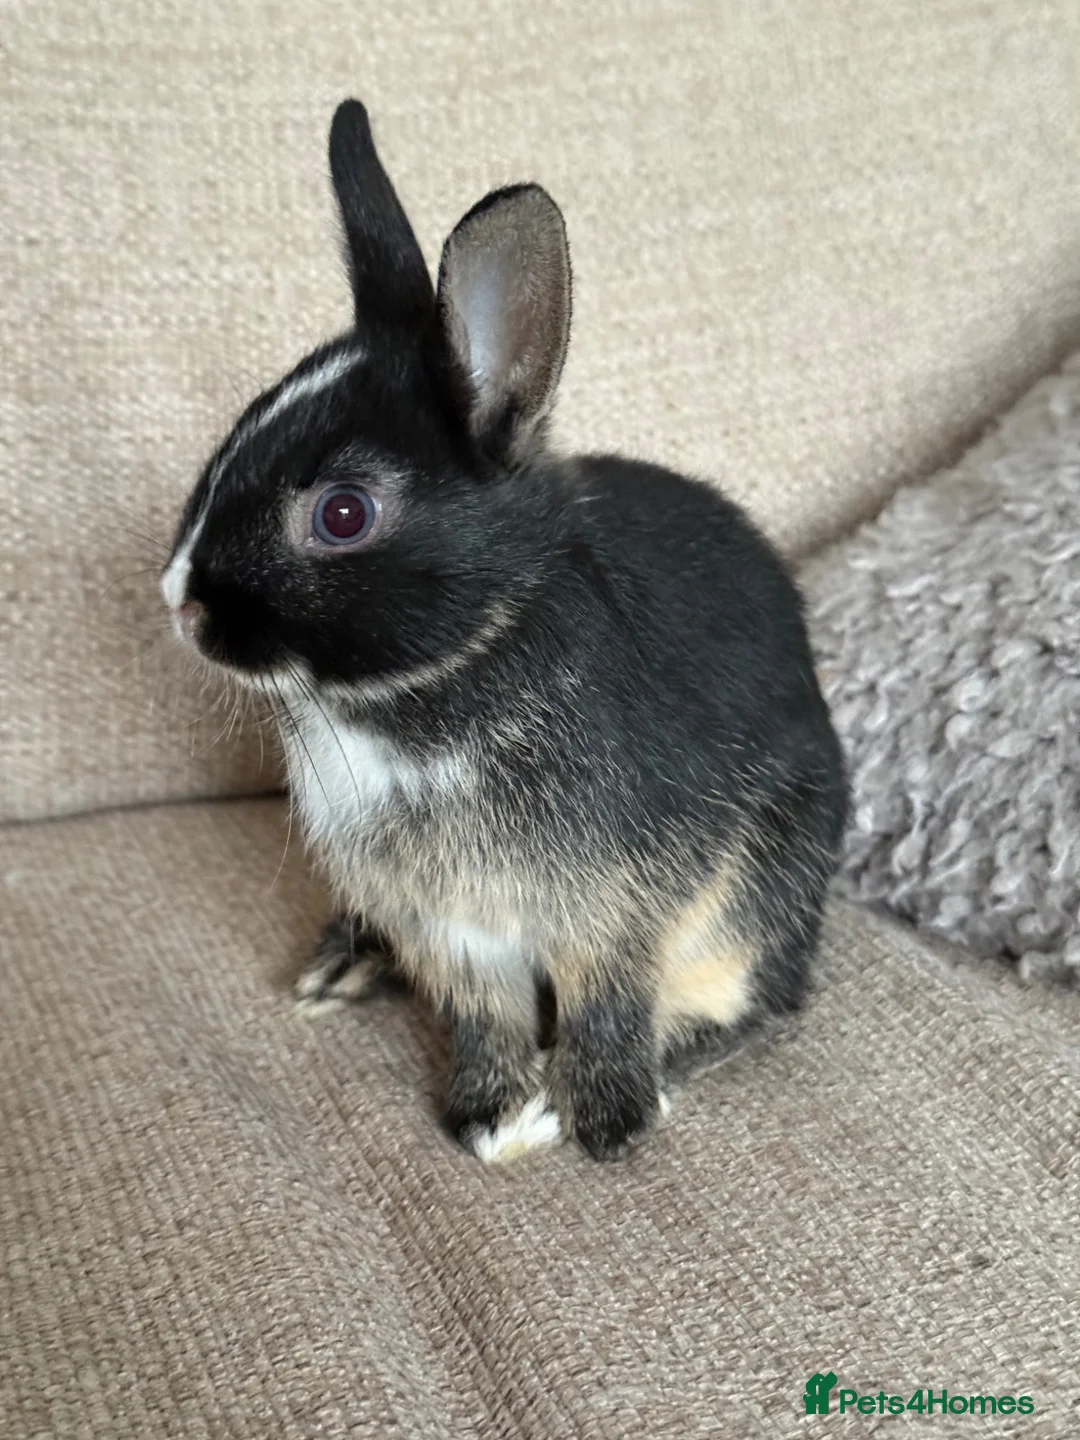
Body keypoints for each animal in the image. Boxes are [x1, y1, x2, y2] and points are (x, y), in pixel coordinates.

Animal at [161, 99, 849, 1163]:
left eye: (344, 514)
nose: (179, 601)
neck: (441, 681)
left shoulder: (615, 912)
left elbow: (609, 1004)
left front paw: (597, 1121)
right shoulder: (453, 933)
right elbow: (486, 1015)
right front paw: (487, 1116)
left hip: (765, 889)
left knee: (760, 1003)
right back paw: (340, 968)